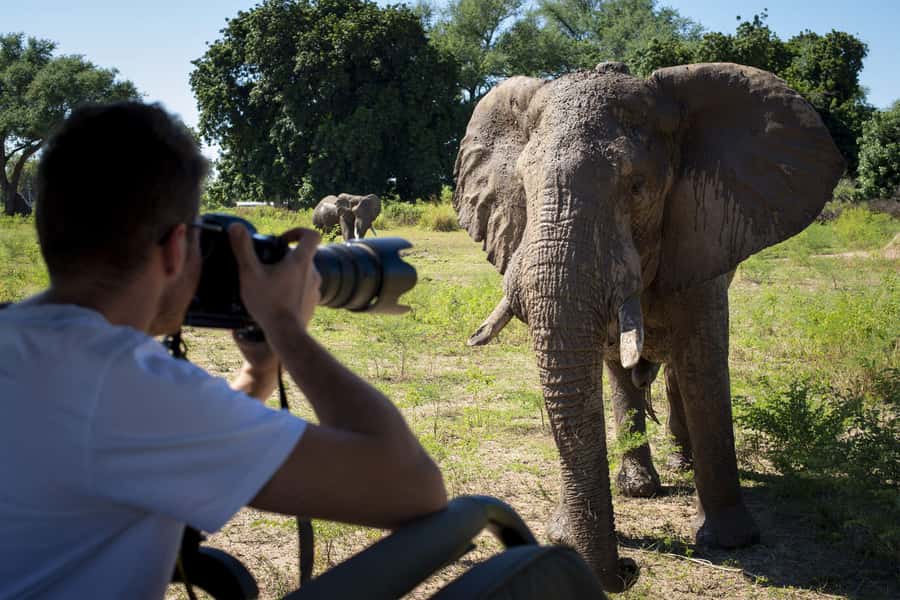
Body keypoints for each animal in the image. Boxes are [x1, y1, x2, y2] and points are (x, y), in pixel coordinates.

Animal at [452, 62, 844, 591]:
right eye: (524, 189)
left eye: (637, 188)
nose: (628, 569)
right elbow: (603, 363)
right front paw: (566, 530)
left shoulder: (703, 238)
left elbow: (703, 363)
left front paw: (732, 542)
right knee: (624, 371)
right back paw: (639, 487)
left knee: (680, 368)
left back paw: (684, 464)